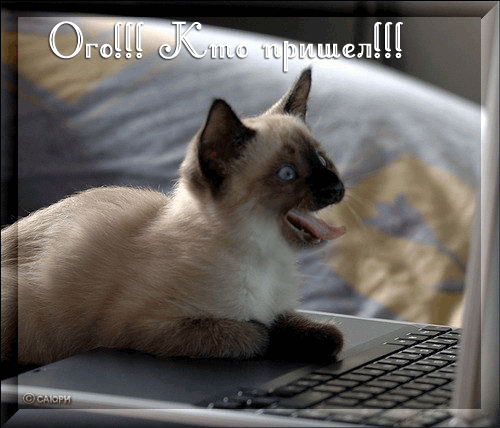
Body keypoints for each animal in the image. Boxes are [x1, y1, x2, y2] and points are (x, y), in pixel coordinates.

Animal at [1, 68, 346, 367]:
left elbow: (320, 330)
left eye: (321, 160)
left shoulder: (277, 310)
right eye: (287, 174)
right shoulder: (145, 327)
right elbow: (256, 334)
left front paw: (318, 337)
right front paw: (268, 335)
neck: (266, 256)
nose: (337, 188)